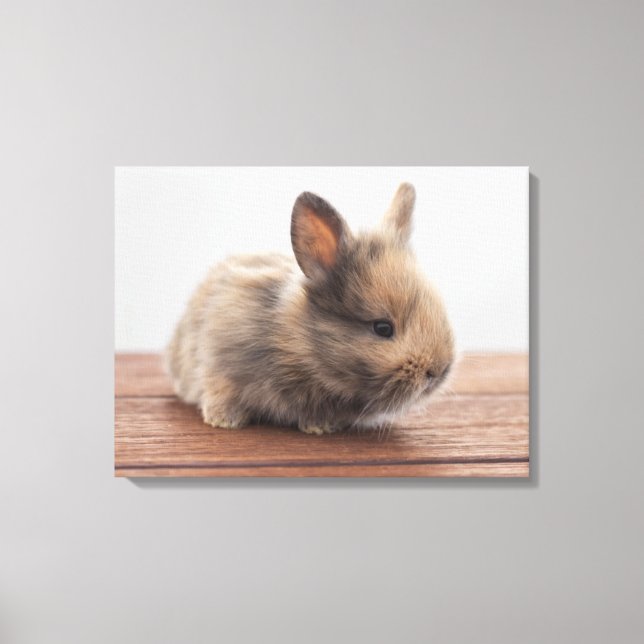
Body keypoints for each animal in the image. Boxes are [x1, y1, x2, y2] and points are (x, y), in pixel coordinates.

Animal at [165, 183, 454, 434]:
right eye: (382, 328)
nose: (438, 371)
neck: (298, 345)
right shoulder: (220, 361)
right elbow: (220, 390)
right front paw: (224, 421)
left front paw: (320, 427)